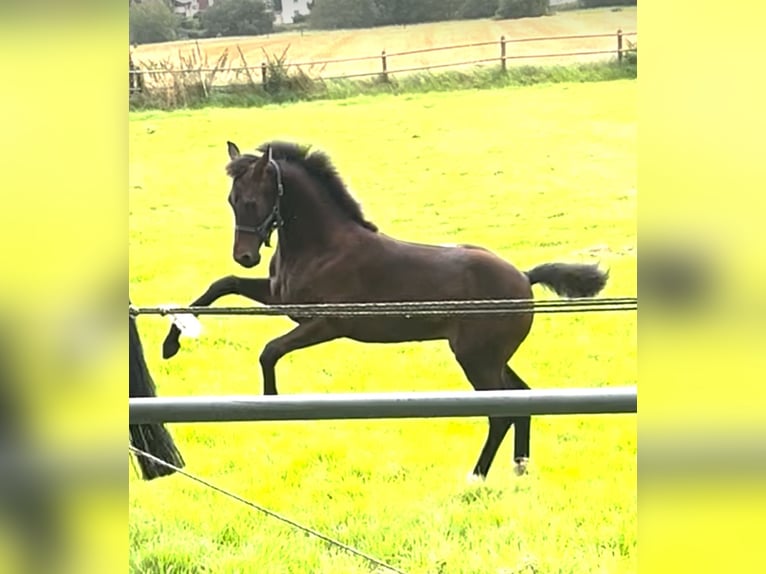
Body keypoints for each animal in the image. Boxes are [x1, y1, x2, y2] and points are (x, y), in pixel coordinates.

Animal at [159, 141, 608, 482]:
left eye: (254, 201)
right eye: (232, 200)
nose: (246, 255)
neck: (323, 246)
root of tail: (524, 278)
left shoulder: (327, 323)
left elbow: (269, 350)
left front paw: (271, 406)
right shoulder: (280, 300)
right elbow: (223, 285)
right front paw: (172, 341)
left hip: (477, 359)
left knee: (501, 412)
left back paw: (476, 476)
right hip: (491, 358)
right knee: (522, 397)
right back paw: (519, 470)